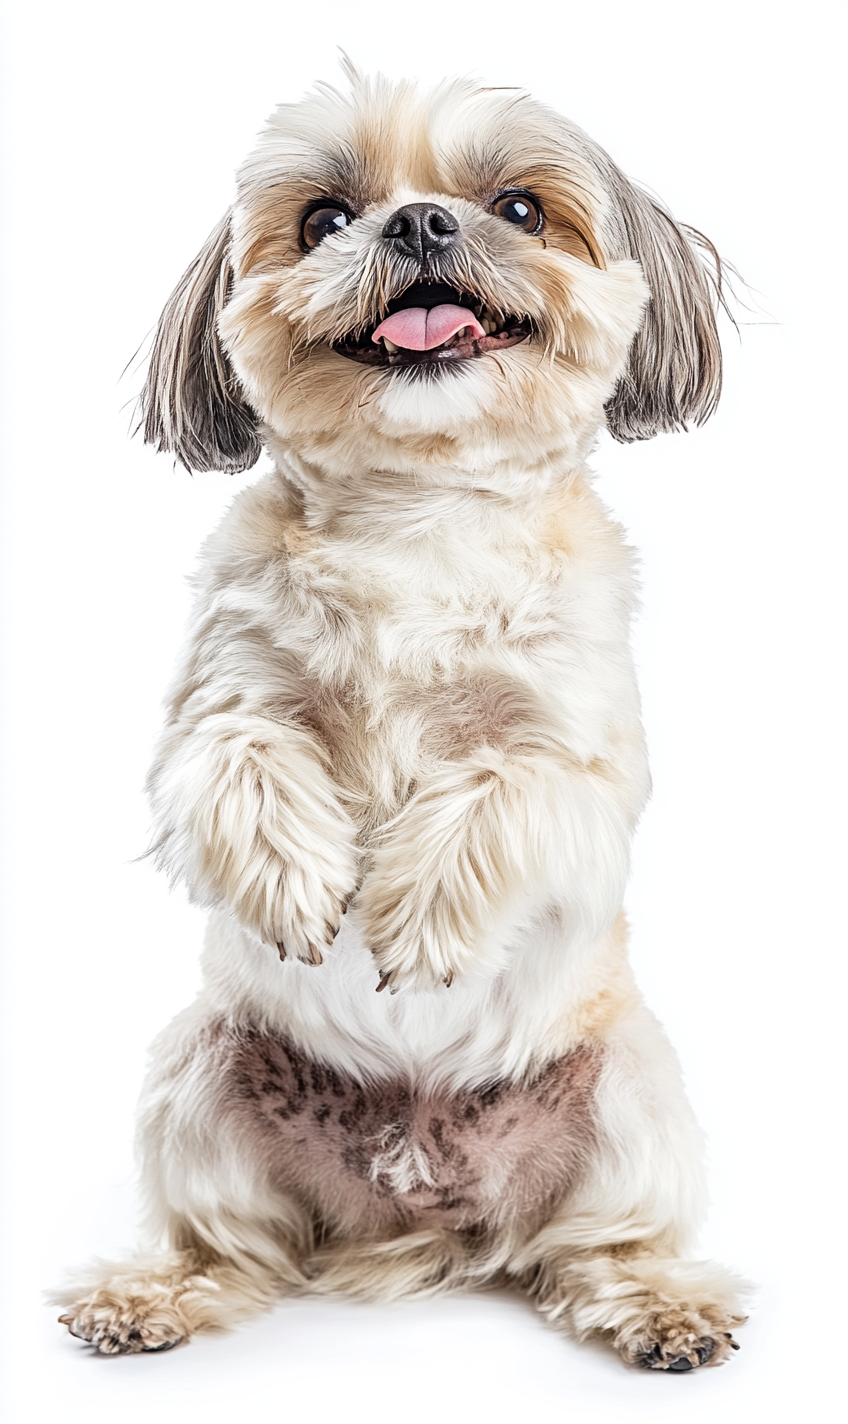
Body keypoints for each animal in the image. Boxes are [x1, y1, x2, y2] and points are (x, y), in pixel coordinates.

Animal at [56, 64, 751, 1367]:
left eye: (518, 209)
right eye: (325, 217)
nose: (419, 222)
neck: (417, 521)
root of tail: (412, 1183)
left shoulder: (580, 755)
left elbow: (503, 780)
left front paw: (415, 913)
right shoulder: (214, 697)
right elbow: (242, 747)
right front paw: (302, 882)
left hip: (627, 1092)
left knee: (596, 1244)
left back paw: (654, 1305)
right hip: (202, 1071)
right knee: (233, 1245)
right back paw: (159, 1292)